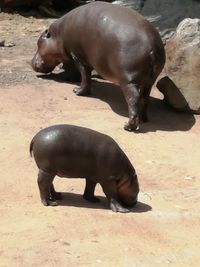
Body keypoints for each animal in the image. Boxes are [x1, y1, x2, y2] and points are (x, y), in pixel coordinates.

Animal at [31, 1, 166, 131]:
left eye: (39, 42)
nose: (31, 62)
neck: (59, 34)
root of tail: (153, 47)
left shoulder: (77, 57)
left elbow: (83, 75)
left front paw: (77, 90)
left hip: (129, 80)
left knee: (134, 98)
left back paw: (128, 126)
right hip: (149, 81)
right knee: (145, 97)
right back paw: (144, 119)